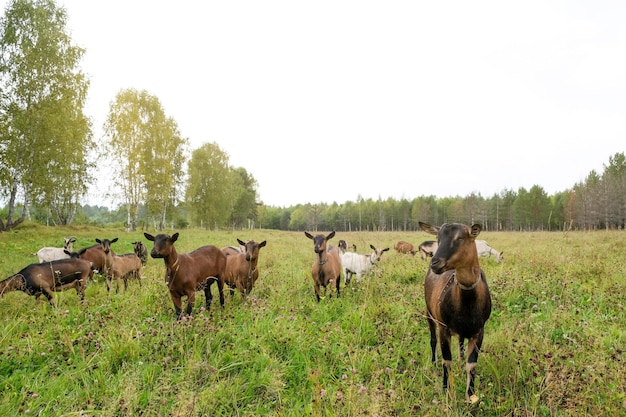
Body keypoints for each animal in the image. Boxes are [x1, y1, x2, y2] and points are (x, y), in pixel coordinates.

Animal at [416, 221, 490, 404]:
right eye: (438, 237)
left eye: (460, 237)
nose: (435, 263)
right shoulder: (444, 328)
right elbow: (446, 361)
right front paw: (446, 391)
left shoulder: (479, 331)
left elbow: (472, 364)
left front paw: (471, 396)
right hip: (429, 313)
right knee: (433, 339)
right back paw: (433, 362)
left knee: (461, 343)